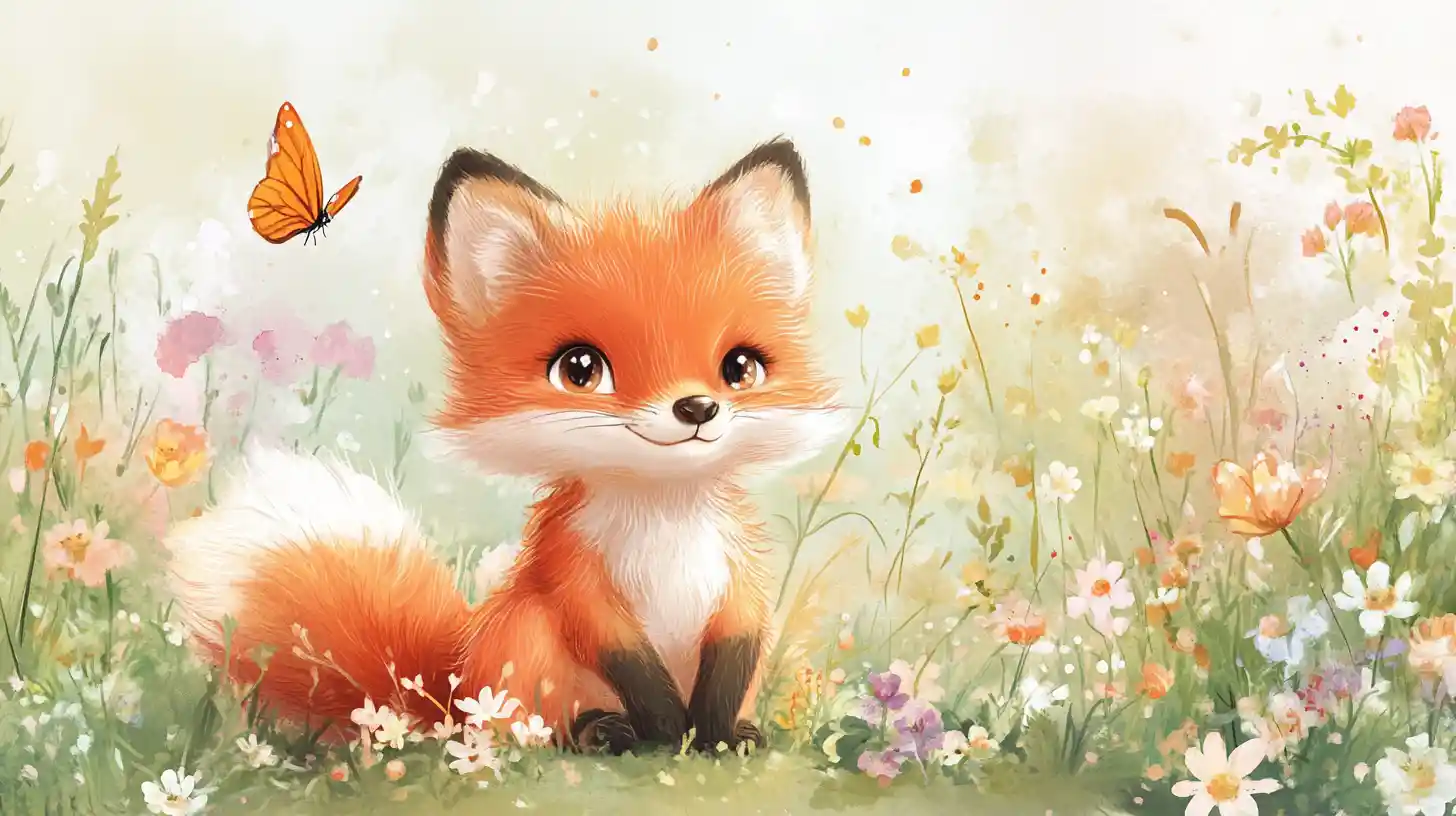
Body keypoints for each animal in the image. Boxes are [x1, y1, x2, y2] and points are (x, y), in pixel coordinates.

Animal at [165, 137, 842, 755]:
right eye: (581, 369)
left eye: (740, 368)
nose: (697, 409)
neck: (663, 517)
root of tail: (455, 686)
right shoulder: (573, 575)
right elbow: (626, 660)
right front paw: (667, 730)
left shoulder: (739, 571)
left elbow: (734, 656)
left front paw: (714, 737)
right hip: (527, 634)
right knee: (531, 729)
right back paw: (598, 734)